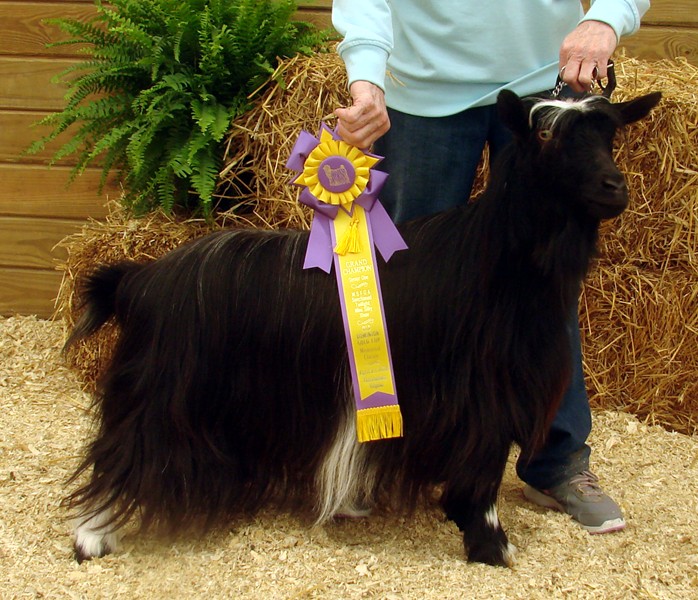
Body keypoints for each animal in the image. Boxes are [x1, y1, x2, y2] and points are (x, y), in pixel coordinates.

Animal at [64, 89, 661, 566]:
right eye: (546, 135)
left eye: (610, 135)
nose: (614, 187)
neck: (493, 260)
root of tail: (139, 279)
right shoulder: (482, 399)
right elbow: (484, 475)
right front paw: (492, 547)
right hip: (162, 396)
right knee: (123, 453)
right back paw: (91, 539)